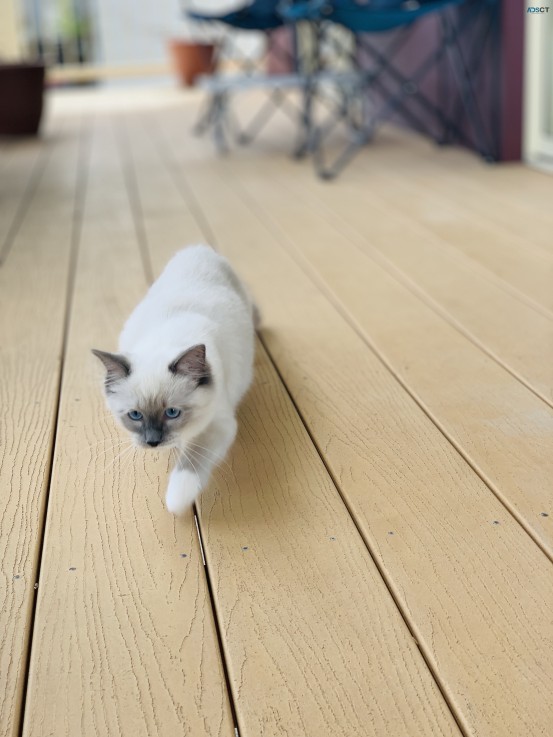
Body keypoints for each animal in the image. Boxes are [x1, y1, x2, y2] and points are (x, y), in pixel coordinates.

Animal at [93, 244, 256, 516]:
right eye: (135, 415)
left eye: (172, 413)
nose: (152, 442)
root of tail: (199, 247)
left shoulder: (216, 425)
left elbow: (189, 464)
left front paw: (175, 502)